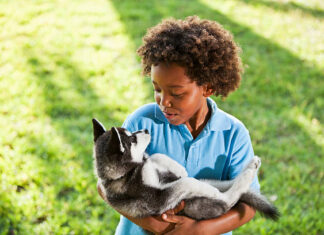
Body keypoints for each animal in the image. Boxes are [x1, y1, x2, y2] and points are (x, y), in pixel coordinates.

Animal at [92, 118, 280, 221]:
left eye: (132, 133)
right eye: (132, 139)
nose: (146, 129)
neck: (131, 170)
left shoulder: (154, 168)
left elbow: (156, 156)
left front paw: (179, 167)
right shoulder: (158, 198)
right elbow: (184, 183)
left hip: (205, 184)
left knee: (220, 182)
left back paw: (250, 166)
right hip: (196, 205)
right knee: (227, 197)